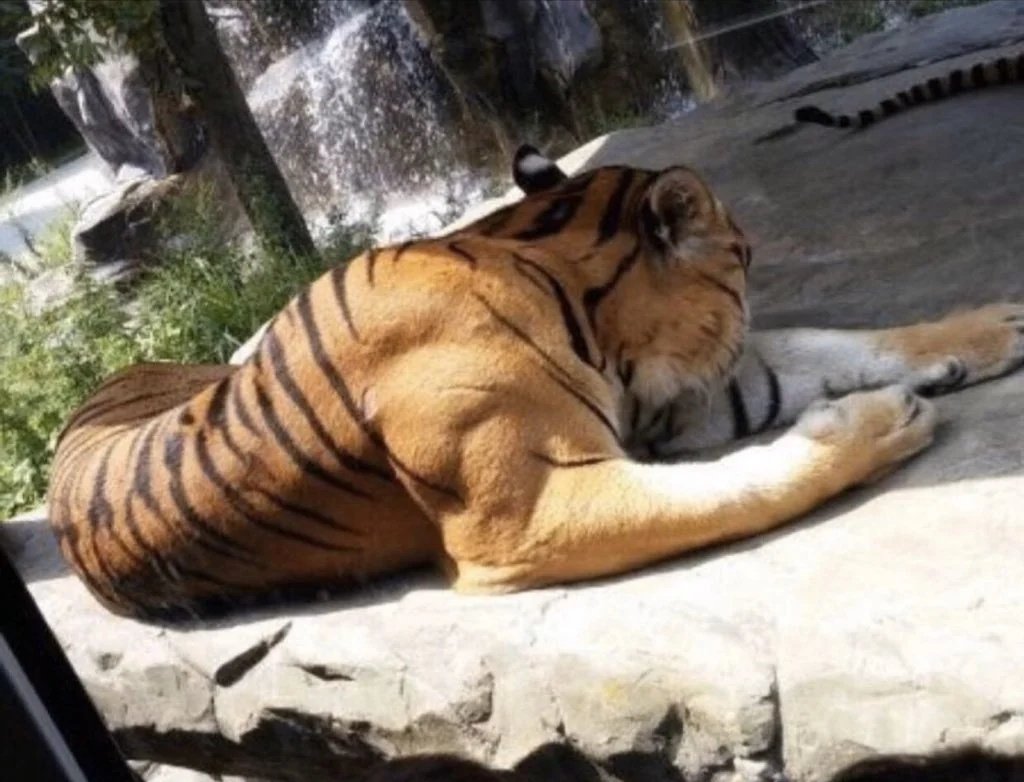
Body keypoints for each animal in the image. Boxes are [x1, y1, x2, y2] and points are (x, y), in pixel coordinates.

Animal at [47, 144, 1024, 620]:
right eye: (743, 259)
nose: (746, 287)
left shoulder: (686, 403)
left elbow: (831, 343)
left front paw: (990, 328)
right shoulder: (530, 510)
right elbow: (742, 484)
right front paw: (875, 423)